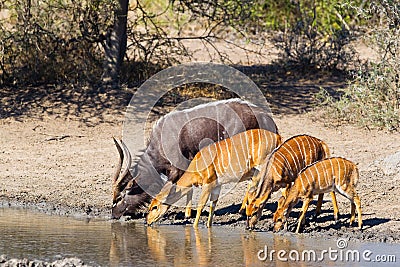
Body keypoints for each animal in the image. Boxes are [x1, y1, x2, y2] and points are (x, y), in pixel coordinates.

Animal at [147, 130, 282, 228]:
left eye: (155, 207)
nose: (147, 221)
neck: (198, 163)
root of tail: (278, 137)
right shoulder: (218, 185)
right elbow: (213, 205)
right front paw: (208, 226)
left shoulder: (208, 184)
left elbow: (201, 205)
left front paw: (195, 227)